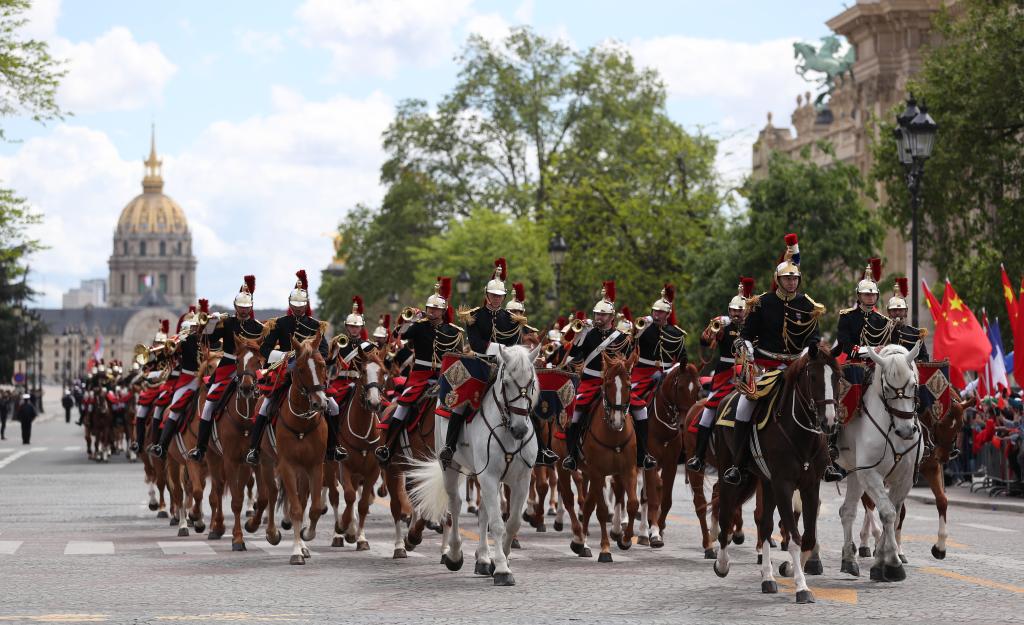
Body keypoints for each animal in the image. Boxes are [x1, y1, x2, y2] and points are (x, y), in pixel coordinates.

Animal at [407, 346, 540, 581]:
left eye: (531, 381)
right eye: (506, 382)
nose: (520, 430)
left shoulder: (521, 480)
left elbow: (512, 522)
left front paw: (501, 559)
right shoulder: (488, 476)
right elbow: (497, 524)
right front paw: (502, 569)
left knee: (484, 511)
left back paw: (484, 559)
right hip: (450, 468)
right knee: (455, 506)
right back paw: (454, 555)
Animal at [569, 350, 638, 561]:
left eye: (629, 385)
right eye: (607, 384)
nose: (617, 421)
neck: (614, 435)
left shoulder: (628, 470)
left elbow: (633, 504)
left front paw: (625, 539)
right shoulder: (598, 472)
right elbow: (600, 510)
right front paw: (606, 549)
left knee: (588, 503)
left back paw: (581, 544)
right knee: (576, 501)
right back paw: (579, 540)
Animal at [835, 340, 925, 577]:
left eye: (914, 385)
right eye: (887, 388)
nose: (906, 431)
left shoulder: (905, 478)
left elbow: (894, 513)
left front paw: (881, 560)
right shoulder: (870, 473)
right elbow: (887, 513)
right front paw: (892, 562)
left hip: (854, 474)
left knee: (847, 511)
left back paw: (848, 559)